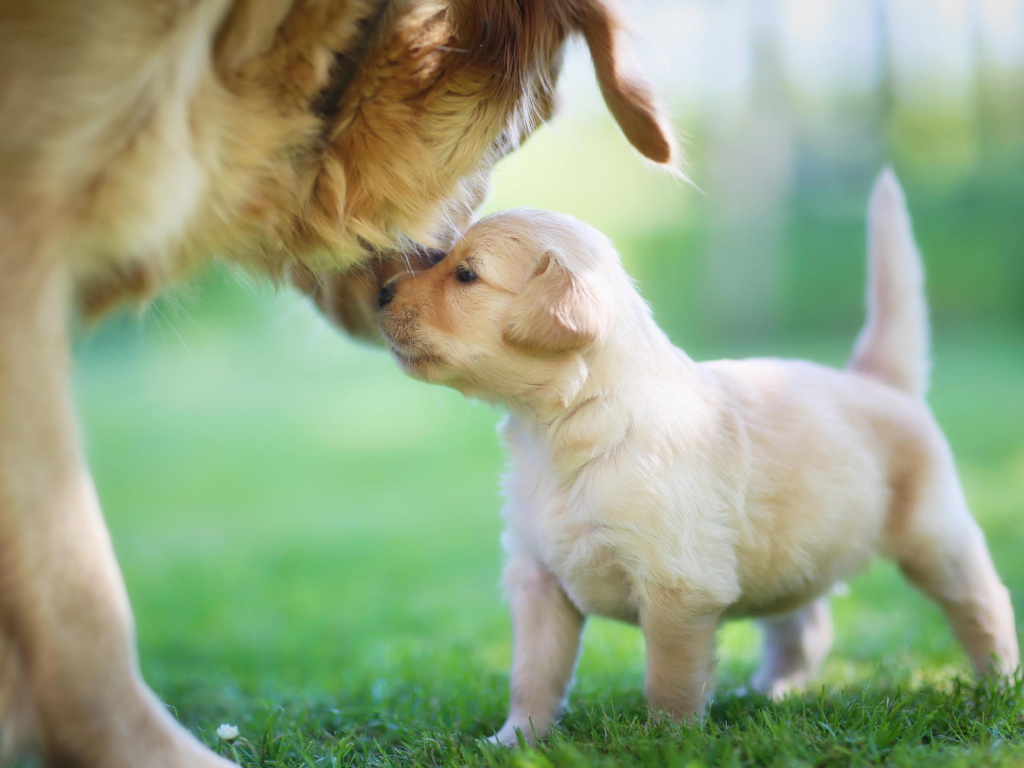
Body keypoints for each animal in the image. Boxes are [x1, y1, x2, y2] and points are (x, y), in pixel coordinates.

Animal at [380, 171, 1019, 749]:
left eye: (467, 274)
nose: (381, 292)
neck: (566, 428)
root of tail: (879, 380)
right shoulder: (538, 579)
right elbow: (533, 674)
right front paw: (515, 740)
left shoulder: (678, 590)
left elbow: (669, 679)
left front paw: (669, 741)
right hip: (790, 551)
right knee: (806, 625)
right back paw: (767, 693)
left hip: (936, 536)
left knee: (984, 604)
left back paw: (998, 687)